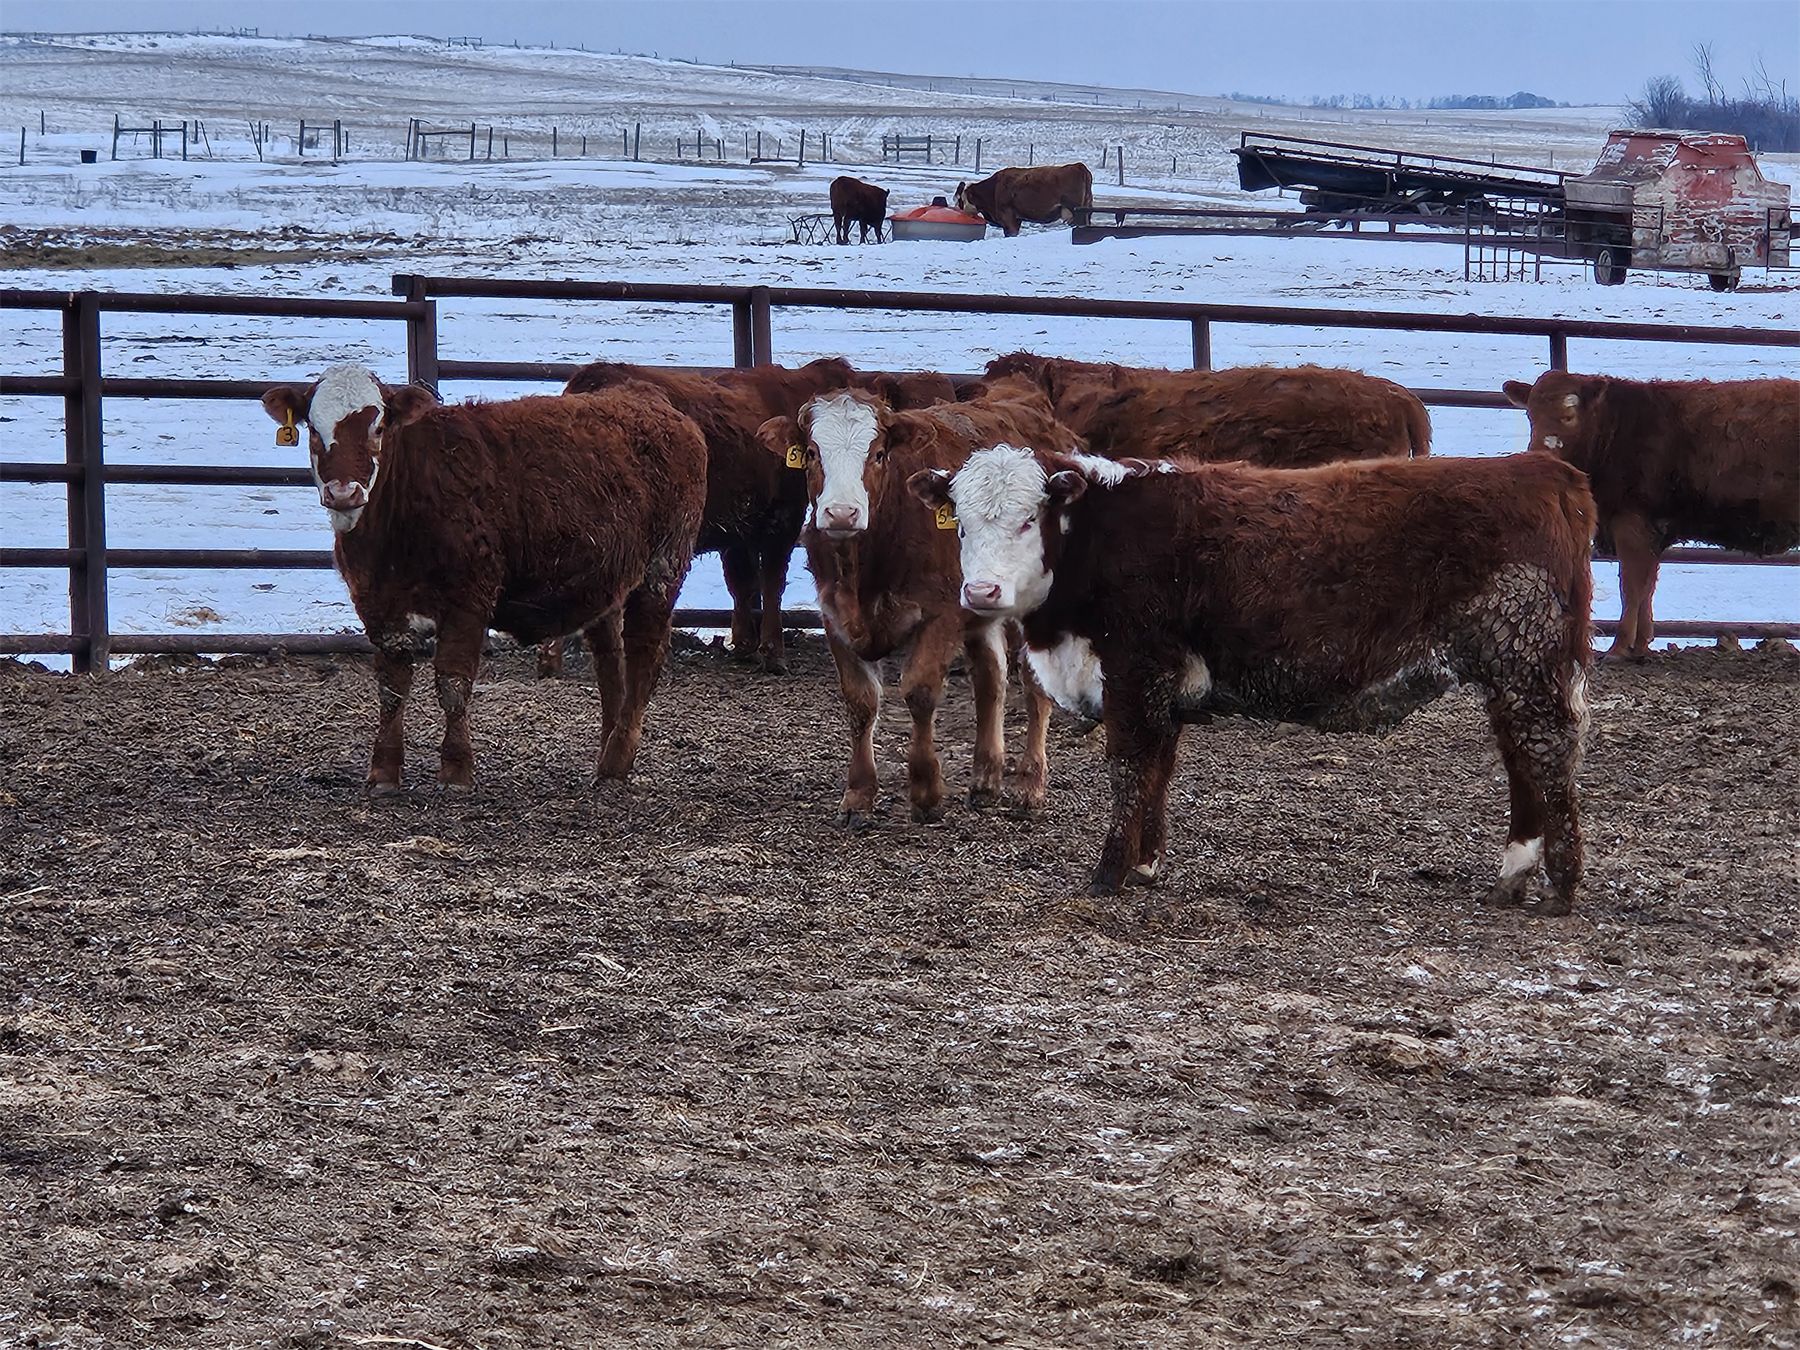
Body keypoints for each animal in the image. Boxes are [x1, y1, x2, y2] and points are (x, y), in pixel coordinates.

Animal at [260, 364, 706, 792]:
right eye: (313, 429)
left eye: (379, 428)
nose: (343, 493)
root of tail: (649, 399)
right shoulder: (378, 603)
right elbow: (391, 686)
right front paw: (384, 771)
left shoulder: (468, 598)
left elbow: (453, 683)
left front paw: (456, 770)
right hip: (608, 580)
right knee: (610, 660)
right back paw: (608, 756)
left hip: (662, 569)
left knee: (643, 656)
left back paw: (616, 761)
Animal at [755, 385, 1082, 824]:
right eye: (810, 452)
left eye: (878, 453)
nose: (841, 513)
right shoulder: (832, 616)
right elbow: (860, 701)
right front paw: (858, 794)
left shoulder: (940, 614)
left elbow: (920, 692)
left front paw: (926, 790)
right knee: (991, 678)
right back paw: (985, 779)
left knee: (1033, 686)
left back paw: (1029, 785)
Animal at [911, 448, 1595, 914]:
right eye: (962, 523)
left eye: (1029, 520)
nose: (982, 591)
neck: (1099, 541)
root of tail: (1543, 469)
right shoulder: (1162, 691)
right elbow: (1157, 770)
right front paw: (1146, 865)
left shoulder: (1134, 672)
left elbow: (1129, 769)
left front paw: (1108, 873)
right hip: (1510, 669)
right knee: (1519, 754)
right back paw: (1514, 874)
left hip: (1526, 660)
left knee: (1547, 754)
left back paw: (1561, 886)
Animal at [954, 164, 1094, 237]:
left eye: (960, 199)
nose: (958, 210)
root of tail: (1078, 166)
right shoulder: (1017, 218)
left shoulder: (1007, 216)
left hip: (1077, 213)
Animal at [1504, 371, 1800, 660]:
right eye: (1530, 414)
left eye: (1568, 415)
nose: (1538, 452)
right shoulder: (1651, 531)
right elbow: (1647, 586)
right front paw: (1641, 644)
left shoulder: (1632, 521)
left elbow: (1631, 587)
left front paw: (1620, 646)